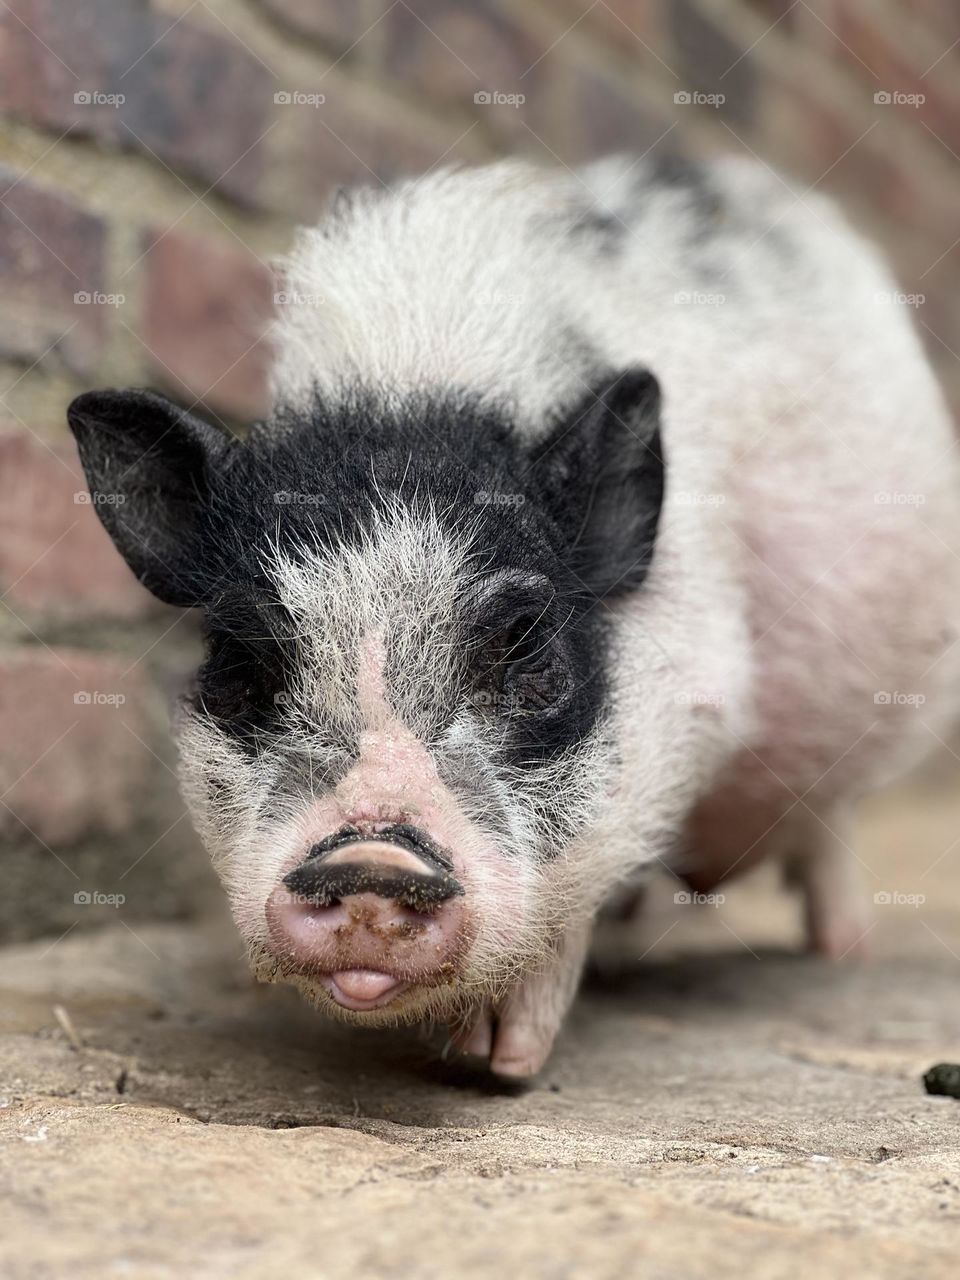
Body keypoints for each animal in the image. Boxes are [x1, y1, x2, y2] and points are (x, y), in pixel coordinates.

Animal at [67, 154, 960, 1077]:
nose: (372, 858)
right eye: (243, 662)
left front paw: (498, 1068)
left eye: (529, 652)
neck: (413, 390)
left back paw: (843, 954)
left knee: (832, 830)